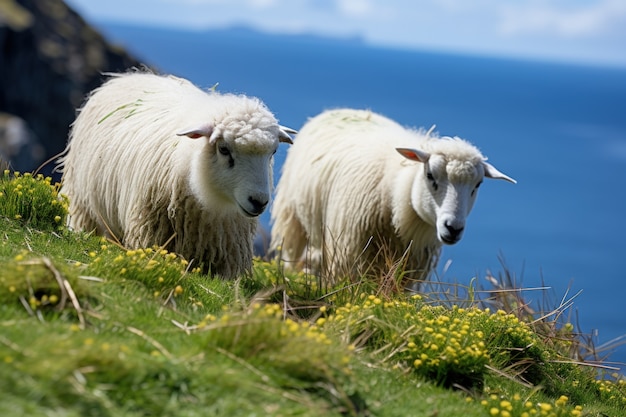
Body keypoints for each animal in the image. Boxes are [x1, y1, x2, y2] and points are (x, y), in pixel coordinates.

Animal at [57, 72, 294, 276]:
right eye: (224, 149)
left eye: (273, 152)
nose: (259, 201)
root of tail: (125, 77)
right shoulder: (150, 233)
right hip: (82, 203)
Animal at [270, 108, 516, 286]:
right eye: (430, 175)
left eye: (478, 184)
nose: (453, 228)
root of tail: (342, 109)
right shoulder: (349, 252)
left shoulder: (409, 265)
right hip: (292, 218)